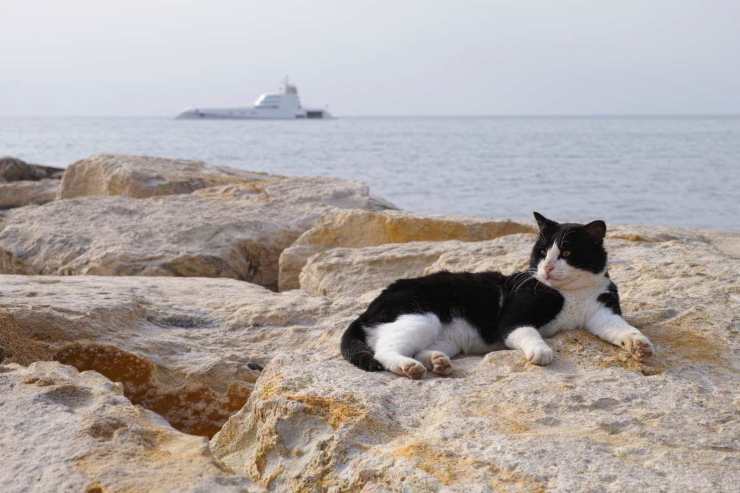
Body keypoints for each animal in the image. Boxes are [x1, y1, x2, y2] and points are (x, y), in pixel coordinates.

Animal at [340, 210, 652, 376]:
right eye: (542, 252)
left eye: (566, 253)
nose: (547, 267)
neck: (573, 294)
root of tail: (367, 310)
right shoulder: (513, 319)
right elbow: (529, 333)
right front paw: (541, 351)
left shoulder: (602, 312)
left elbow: (621, 328)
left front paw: (639, 344)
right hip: (419, 317)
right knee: (384, 351)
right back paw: (410, 367)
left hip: (445, 337)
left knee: (423, 349)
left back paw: (437, 362)